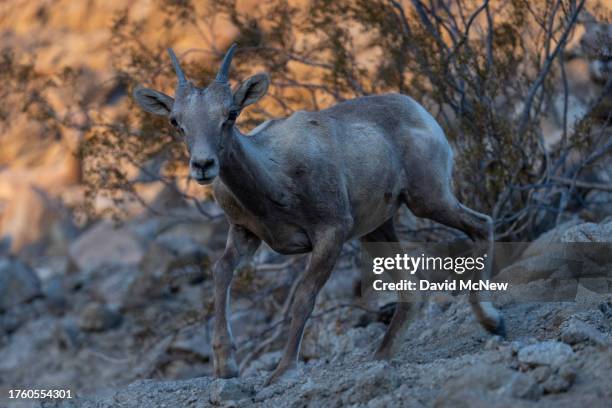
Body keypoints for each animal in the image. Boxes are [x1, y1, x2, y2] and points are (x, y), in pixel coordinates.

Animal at [134, 43, 502, 384]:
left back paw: (492, 321)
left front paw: (282, 371)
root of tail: (418, 111)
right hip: (377, 229)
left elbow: (303, 298)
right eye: (176, 121)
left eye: (232, 113)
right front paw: (226, 366)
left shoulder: (330, 235)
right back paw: (380, 356)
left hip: (428, 199)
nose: (203, 165)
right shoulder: (245, 233)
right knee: (410, 289)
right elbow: (222, 271)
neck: (276, 176)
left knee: (481, 225)